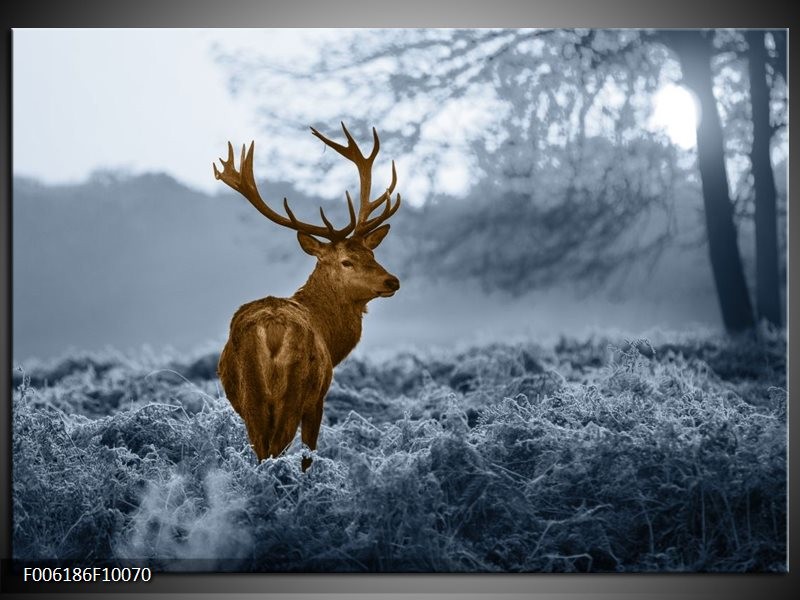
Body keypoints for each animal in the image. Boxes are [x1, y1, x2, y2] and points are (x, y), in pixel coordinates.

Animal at [212, 123, 400, 468]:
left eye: (372, 253)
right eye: (346, 261)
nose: (392, 281)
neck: (331, 337)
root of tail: (272, 330)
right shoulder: (318, 398)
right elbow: (308, 455)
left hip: (251, 397)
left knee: (261, 452)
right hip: (295, 392)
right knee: (276, 449)